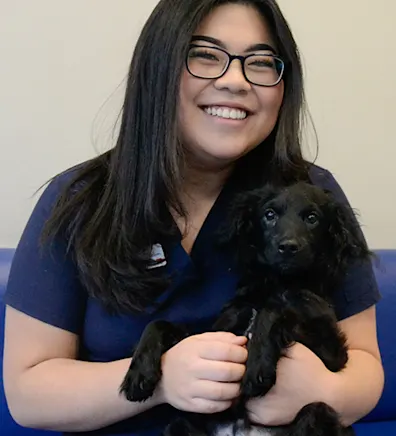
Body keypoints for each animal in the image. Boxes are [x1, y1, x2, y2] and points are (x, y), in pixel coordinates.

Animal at [120, 182, 372, 436]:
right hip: (180, 424)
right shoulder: (217, 332)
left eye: (312, 218)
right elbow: (158, 324)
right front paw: (138, 374)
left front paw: (257, 365)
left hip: (318, 412)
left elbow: (274, 311)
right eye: (269, 214)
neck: (277, 283)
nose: (288, 247)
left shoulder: (333, 354)